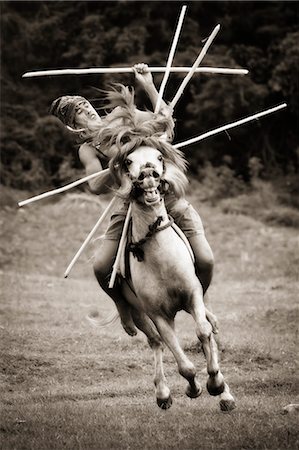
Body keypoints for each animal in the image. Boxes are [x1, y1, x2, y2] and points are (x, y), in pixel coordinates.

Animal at [110, 134, 237, 412]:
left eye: (159, 156)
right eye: (128, 160)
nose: (148, 174)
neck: (161, 258)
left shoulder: (193, 296)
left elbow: (203, 333)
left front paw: (216, 384)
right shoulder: (159, 315)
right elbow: (182, 362)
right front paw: (194, 388)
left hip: (200, 300)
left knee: (208, 331)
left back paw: (225, 394)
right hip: (139, 315)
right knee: (156, 343)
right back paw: (163, 393)